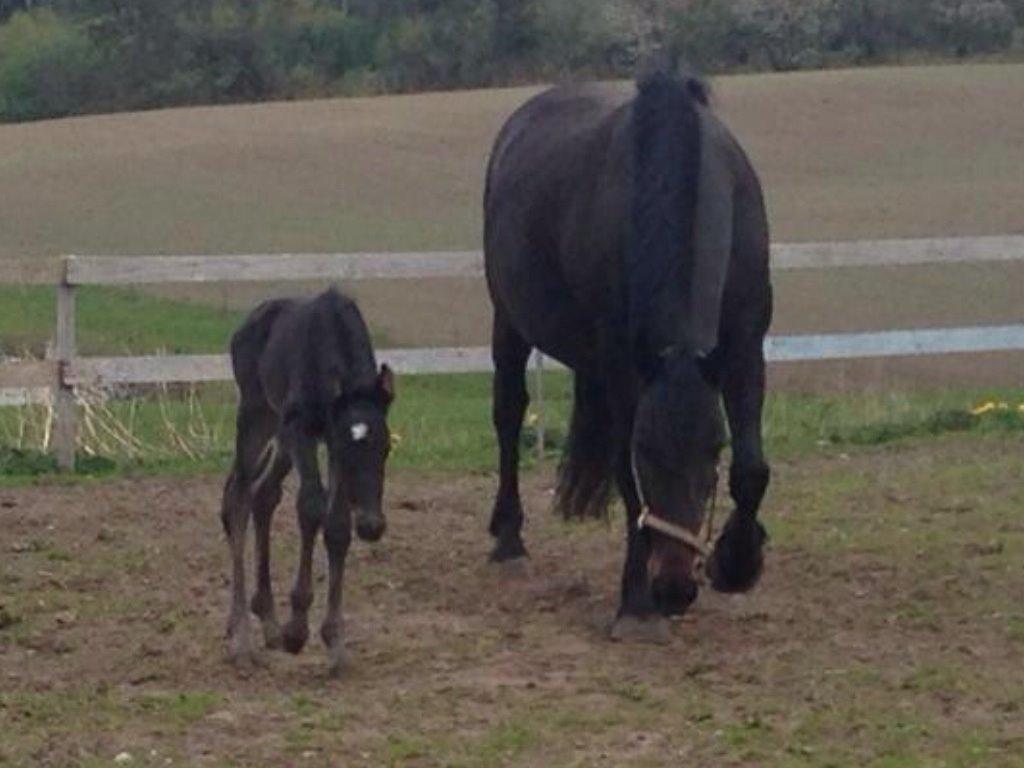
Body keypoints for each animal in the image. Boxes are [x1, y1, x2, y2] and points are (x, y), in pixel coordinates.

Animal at [483, 69, 770, 638]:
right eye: (647, 452)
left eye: (714, 449)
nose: (675, 588)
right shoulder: (620, 365)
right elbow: (624, 474)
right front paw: (636, 603)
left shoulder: (746, 344)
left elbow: (752, 468)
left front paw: (738, 561)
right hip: (508, 319)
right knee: (508, 414)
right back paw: (508, 539)